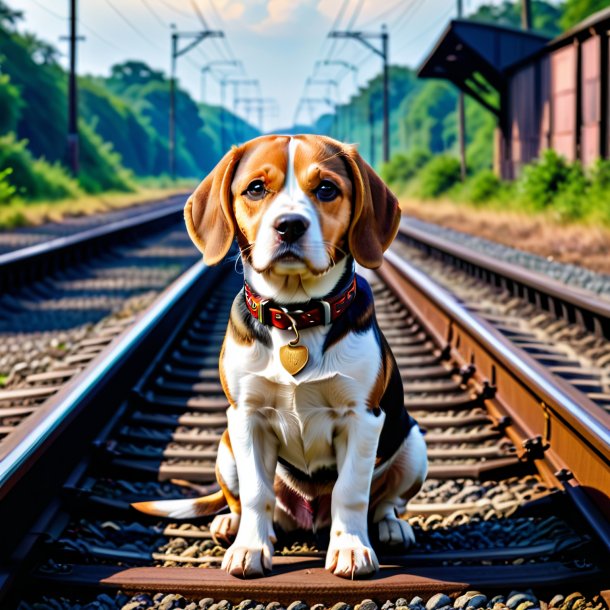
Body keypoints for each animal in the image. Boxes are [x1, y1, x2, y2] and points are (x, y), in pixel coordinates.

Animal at [133, 135, 428, 576]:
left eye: (327, 189)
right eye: (256, 188)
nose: (290, 224)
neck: (295, 316)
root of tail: (308, 519)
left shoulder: (363, 418)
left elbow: (351, 491)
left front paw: (350, 547)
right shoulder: (247, 416)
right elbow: (257, 493)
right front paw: (250, 549)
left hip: (412, 443)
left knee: (385, 503)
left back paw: (392, 528)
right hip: (226, 446)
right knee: (242, 500)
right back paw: (232, 525)